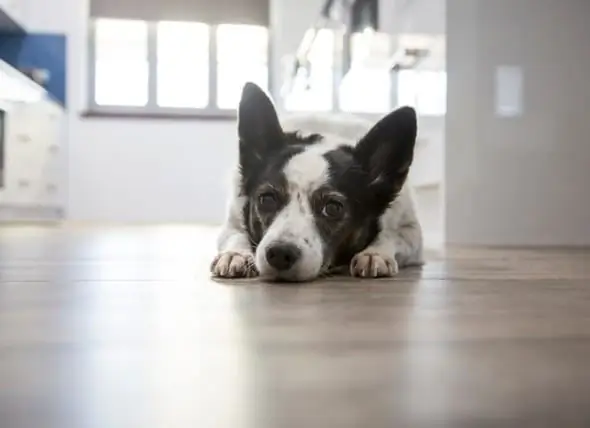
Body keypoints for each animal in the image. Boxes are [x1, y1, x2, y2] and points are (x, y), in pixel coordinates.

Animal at [213, 82, 426, 282]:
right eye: (267, 199)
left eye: (333, 208)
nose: (280, 253)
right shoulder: (232, 223)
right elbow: (237, 235)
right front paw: (236, 254)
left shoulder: (412, 233)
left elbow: (390, 234)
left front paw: (375, 253)